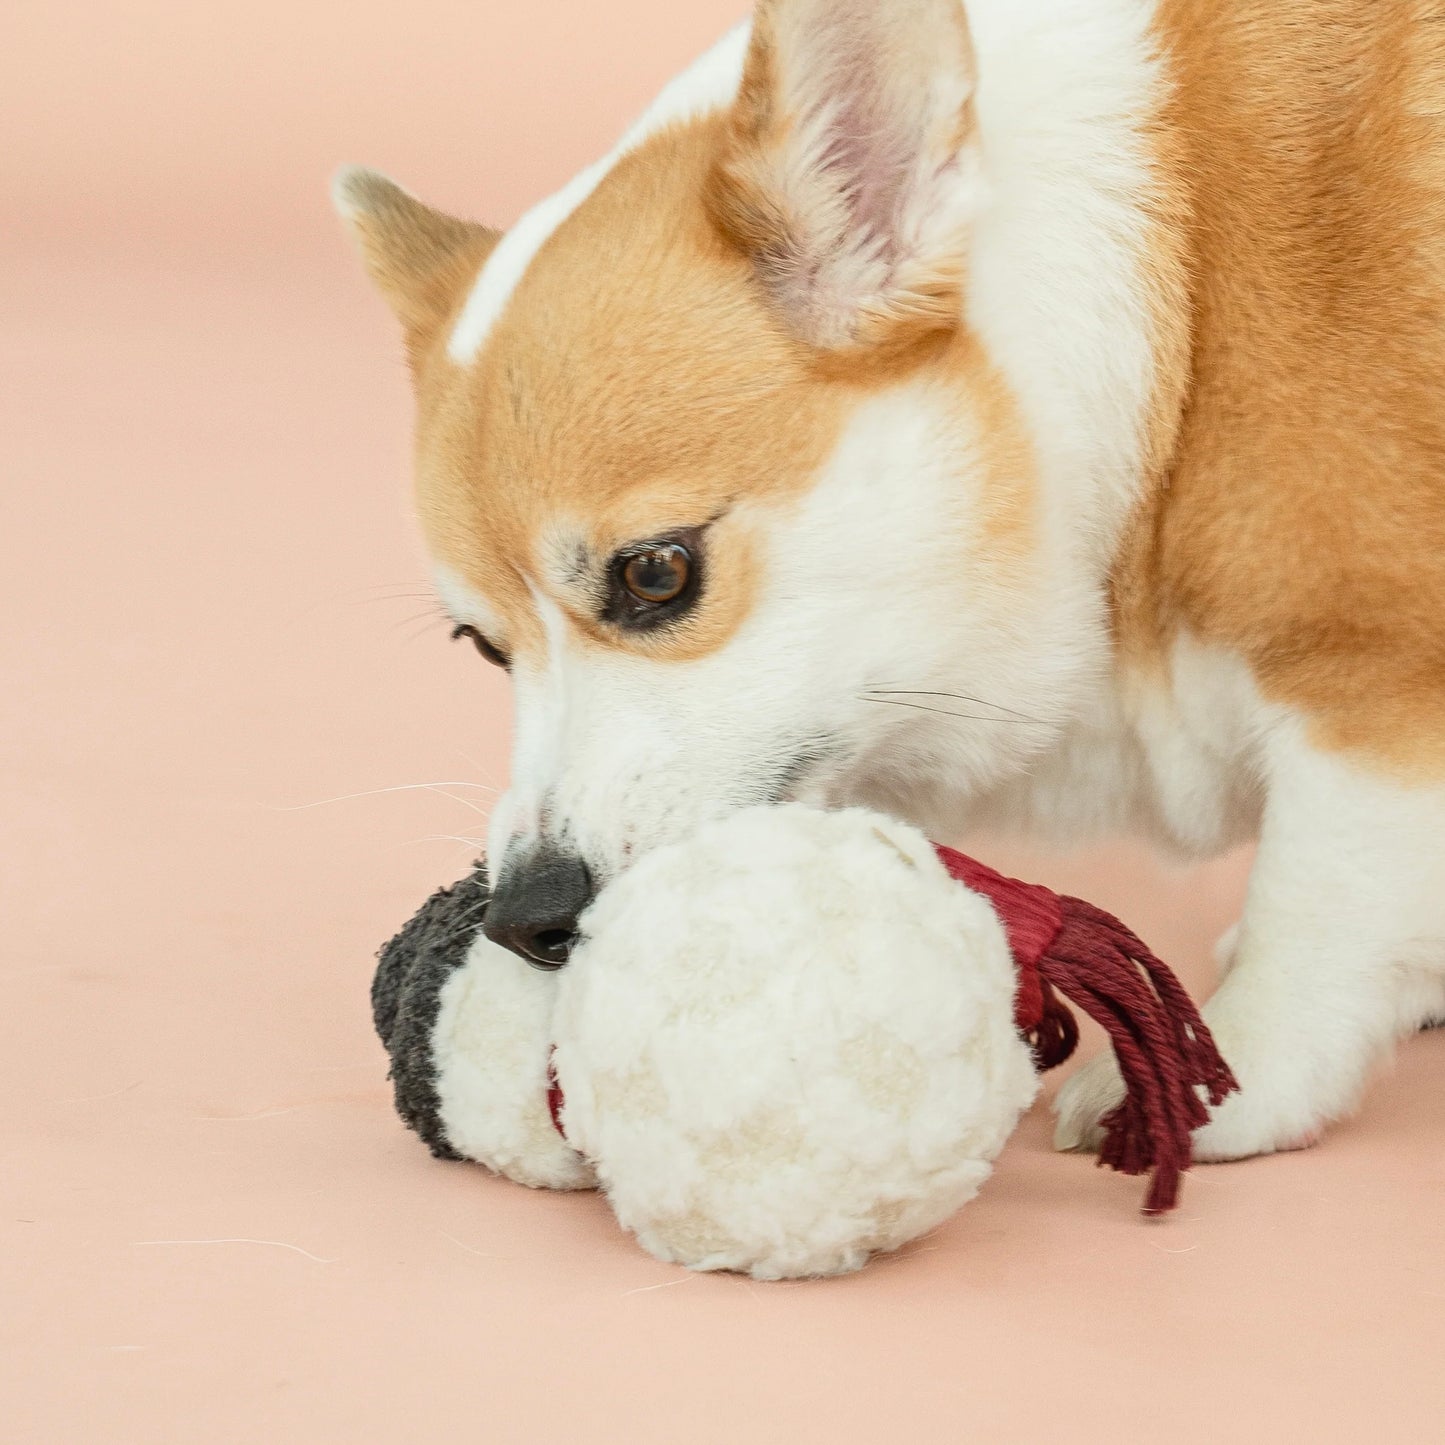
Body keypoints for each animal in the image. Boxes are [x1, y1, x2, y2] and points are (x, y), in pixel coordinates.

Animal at [332, 0, 1439, 1161]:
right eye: (481, 645)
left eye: (656, 573)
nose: (524, 916)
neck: (1173, 320)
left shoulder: (1364, 684)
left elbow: (1317, 905)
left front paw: (1227, 1075)